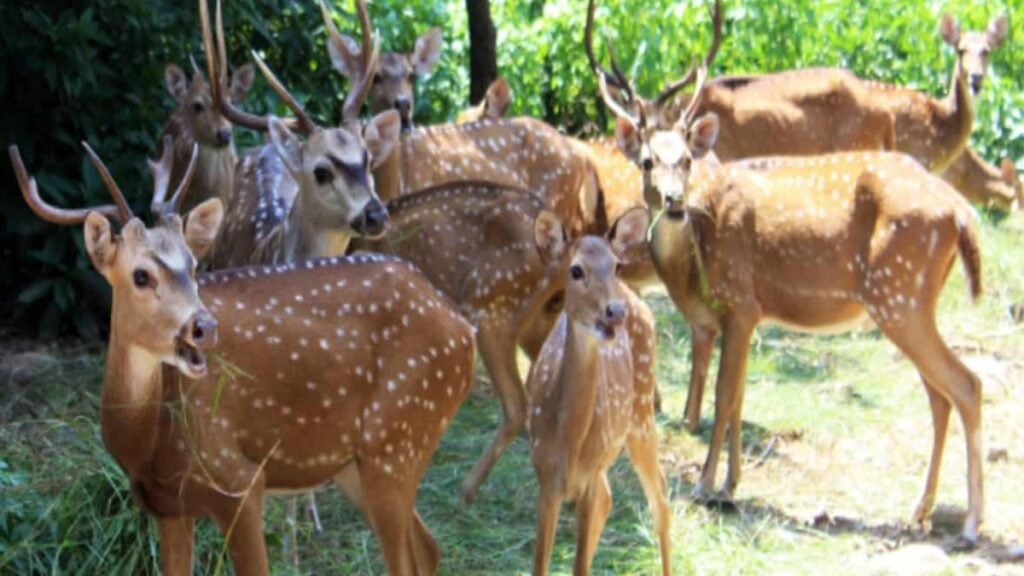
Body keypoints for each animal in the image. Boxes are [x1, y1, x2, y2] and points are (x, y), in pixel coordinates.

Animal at [11, 137, 476, 574]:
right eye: (140, 275)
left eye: (192, 265)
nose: (204, 326)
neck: (149, 442)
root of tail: (462, 327)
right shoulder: (166, 505)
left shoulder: (239, 482)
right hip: (359, 461)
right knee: (428, 548)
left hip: (399, 436)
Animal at [527, 206, 670, 576]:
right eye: (576, 269)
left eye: (616, 265)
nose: (614, 311)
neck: (570, 442)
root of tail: (634, 297)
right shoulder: (545, 479)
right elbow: (540, 566)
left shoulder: (588, 476)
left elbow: (579, 567)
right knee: (611, 496)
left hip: (640, 415)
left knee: (659, 495)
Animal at [590, 9, 987, 541]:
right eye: (648, 161)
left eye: (688, 160)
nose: (674, 201)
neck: (693, 262)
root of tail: (962, 214)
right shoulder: (751, 314)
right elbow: (740, 396)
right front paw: (732, 483)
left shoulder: (741, 302)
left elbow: (724, 395)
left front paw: (706, 484)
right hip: (910, 302)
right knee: (940, 396)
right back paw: (920, 509)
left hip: (900, 296)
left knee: (966, 385)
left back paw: (971, 522)